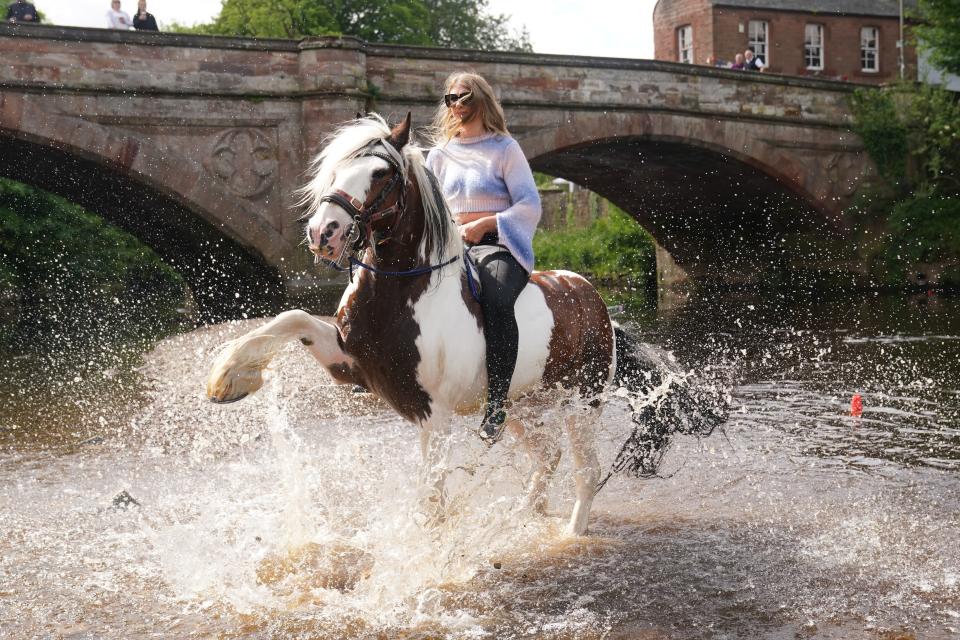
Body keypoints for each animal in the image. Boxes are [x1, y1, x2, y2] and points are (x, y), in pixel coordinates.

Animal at [210, 114, 720, 536]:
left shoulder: (433, 414)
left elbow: (433, 501)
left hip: (582, 402)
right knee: (547, 457)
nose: (324, 233)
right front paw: (228, 376)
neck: (401, 293)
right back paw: (522, 517)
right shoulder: (350, 363)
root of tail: (596, 304)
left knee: (585, 471)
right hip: (521, 405)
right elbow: (291, 317)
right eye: (334, 170)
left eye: (381, 173)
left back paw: (571, 534)